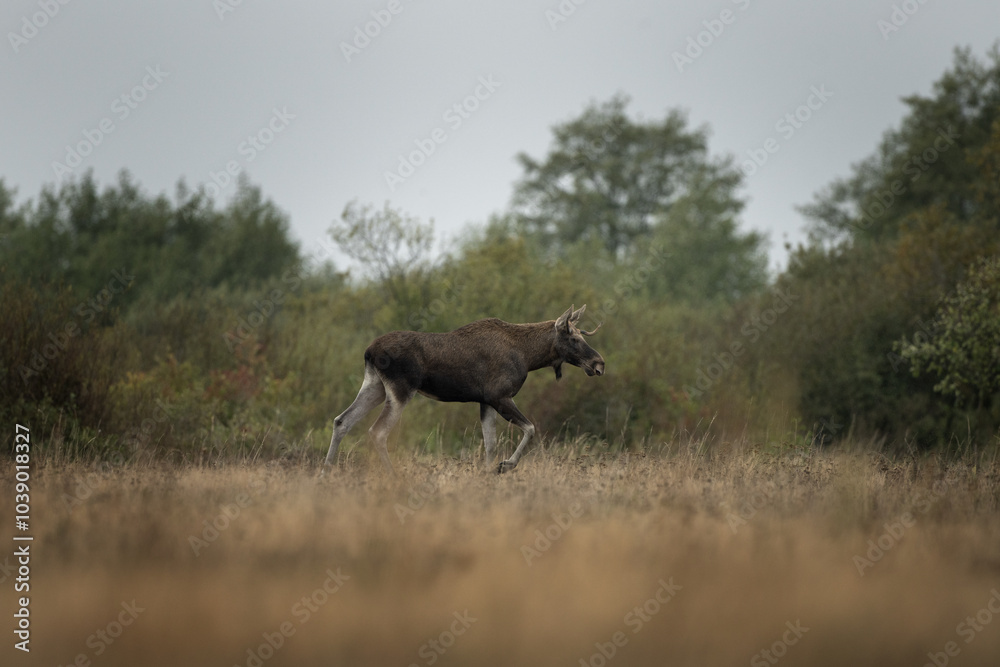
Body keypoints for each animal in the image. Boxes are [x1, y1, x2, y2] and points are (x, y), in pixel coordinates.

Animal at [323, 305, 605, 474]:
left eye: (582, 336)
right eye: (574, 338)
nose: (599, 363)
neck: (528, 356)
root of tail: (369, 351)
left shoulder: (485, 401)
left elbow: (490, 444)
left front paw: (488, 473)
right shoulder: (499, 396)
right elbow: (531, 428)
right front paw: (506, 465)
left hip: (375, 386)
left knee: (341, 420)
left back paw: (327, 471)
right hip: (401, 390)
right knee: (377, 432)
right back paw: (392, 476)